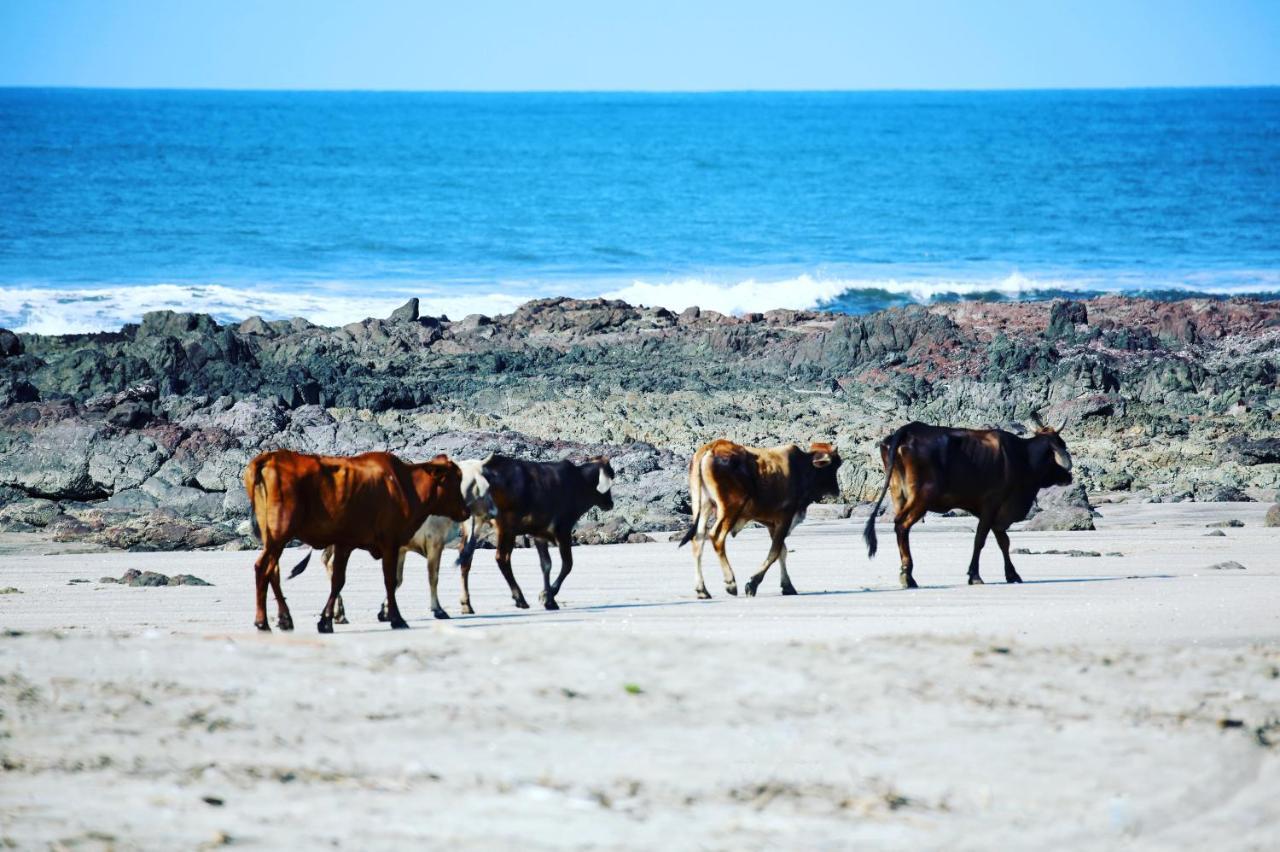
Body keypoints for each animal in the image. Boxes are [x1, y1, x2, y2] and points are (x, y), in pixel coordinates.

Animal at [243, 450, 471, 629]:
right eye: (455, 480)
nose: (466, 511)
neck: (405, 485)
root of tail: (269, 457)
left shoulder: (345, 543)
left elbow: (338, 581)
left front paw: (325, 621)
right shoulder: (390, 542)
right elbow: (390, 581)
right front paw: (396, 618)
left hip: (273, 539)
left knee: (273, 572)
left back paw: (285, 619)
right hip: (279, 535)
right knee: (262, 568)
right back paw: (262, 621)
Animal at [675, 440, 844, 593]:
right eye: (834, 465)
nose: (836, 490)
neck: (802, 468)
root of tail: (711, 447)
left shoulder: (772, 524)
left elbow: (782, 551)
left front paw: (787, 586)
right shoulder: (785, 518)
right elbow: (775, 552)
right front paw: (753, 583)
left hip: (703, 505)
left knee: (698, 540)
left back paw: (702, 590)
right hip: (730, 508)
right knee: (716, 537)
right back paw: (730, 582)